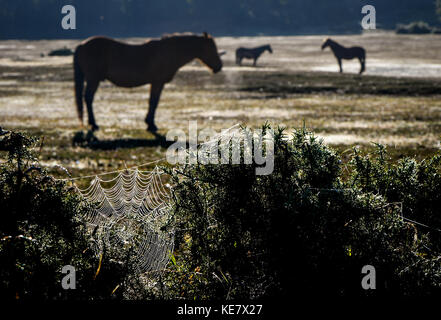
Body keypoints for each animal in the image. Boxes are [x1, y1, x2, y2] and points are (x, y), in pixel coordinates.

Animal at [74, 31, 223, 132]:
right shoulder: (157, 83)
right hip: (93, 79)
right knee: (88, 98)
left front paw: (149, 122)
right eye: (211, 48)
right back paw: (93, 123)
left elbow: (152, 102)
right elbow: (154, 102)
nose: (219, 66)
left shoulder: (155, 83)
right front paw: (151, 124)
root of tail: (81, 45)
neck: (169, 52)